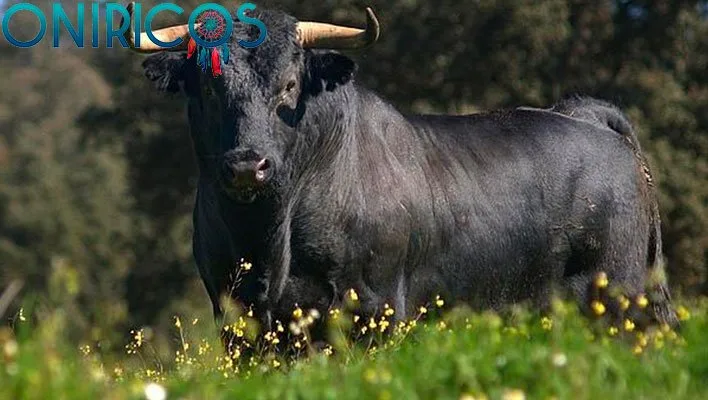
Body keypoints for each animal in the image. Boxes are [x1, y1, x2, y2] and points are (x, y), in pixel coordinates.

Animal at [122, 4, 678, 343]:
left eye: (289, 85)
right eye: (208, 86)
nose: (246, 165)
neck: (270, 236)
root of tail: (588, 117)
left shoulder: (376, 306)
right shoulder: (237, 317)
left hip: (624, 297)